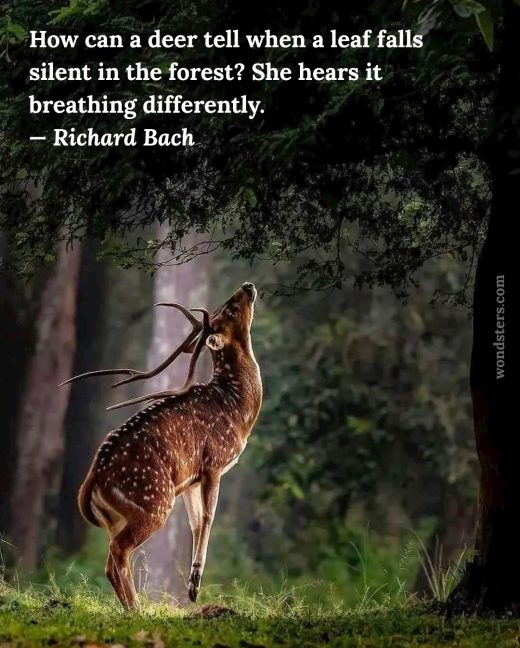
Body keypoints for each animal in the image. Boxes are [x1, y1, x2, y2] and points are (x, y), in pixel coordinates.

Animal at [60, 282, 262, 609]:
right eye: (230, 309)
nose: (248, 285)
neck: (237, 410)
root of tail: (93, 479)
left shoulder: (191, 479)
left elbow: (196, 522)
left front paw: (192, 586)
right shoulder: (214, 461)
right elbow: (209, 518)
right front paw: (194, 586)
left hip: (118, 517)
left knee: (110, 562)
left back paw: (130, 608)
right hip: (154, 502)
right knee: (120, 551)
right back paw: (137, 608)